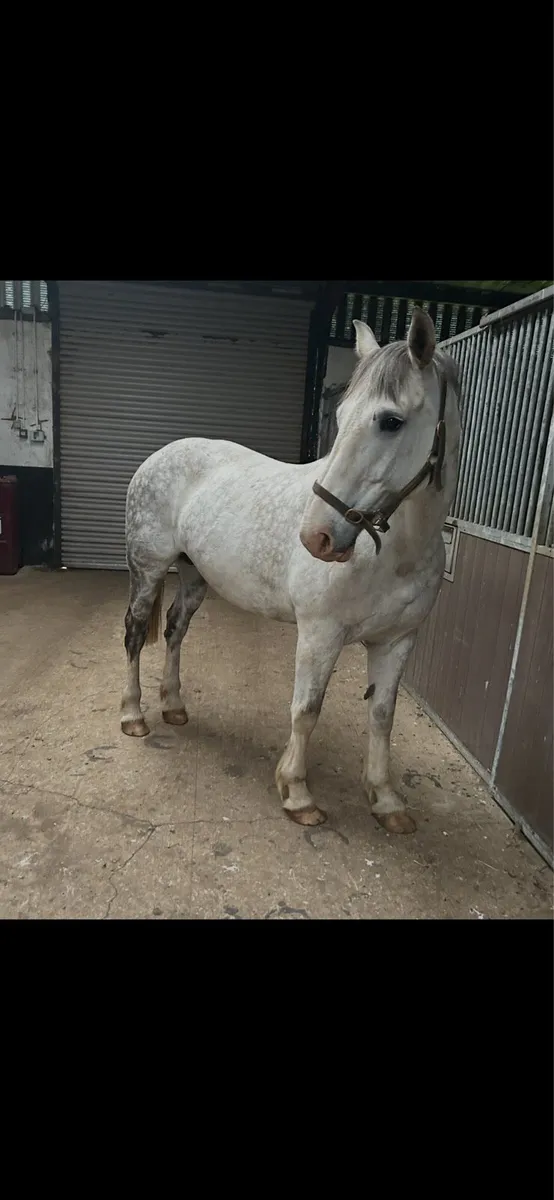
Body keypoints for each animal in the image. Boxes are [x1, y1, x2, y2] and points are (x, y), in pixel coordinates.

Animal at [120, 307, 460, 835]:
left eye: (391, 421)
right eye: (340, 416)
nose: (316, 537)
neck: (395, 554)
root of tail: (159, 456)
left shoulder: (398, 640)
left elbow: (382, 716)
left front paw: (386, 801)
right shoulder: (320, 634)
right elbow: (307, 710)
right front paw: (297, 794)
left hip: (195, 577)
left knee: (175, 631)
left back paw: (174, 707)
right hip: (149, 570)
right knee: (136, 634)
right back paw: (135, 715)